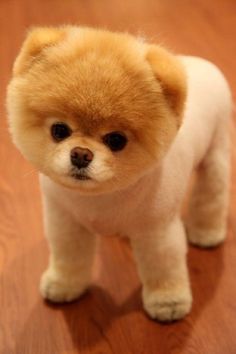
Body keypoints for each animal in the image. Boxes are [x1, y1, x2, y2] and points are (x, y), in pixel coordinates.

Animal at [6, 26, 231, 322]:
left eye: (116, 140)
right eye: (59, 130)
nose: (81, 154)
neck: (99, 198)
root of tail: (203, 63)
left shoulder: (157, 231)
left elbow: (163, 267)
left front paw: (168, 302)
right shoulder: (66, 222)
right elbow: (69, 257)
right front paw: (64, 285)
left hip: (216, 154)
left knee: (211, 195)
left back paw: (206, 232)